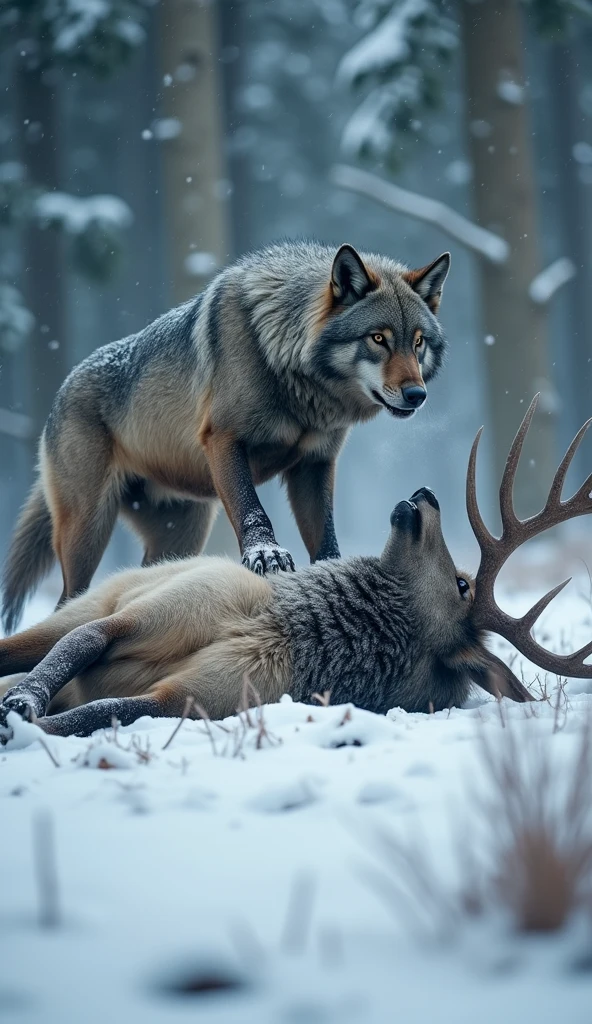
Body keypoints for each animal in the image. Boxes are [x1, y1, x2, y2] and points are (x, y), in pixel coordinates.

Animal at [1, 240, 450, 633]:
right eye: (378, 338)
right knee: (67, 601)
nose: (417, 395)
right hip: (88, 531)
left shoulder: (315, 464)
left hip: (182, 534)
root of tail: (61, 391)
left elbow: (325, 535)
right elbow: (253, 510)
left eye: (417, 342)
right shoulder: (225, 441)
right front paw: (267, 555)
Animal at [1, 395, 591, 742]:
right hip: (89, 596)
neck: (283, 627)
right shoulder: (146, 611)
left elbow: (99, 712)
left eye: (464, 584)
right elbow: (73, 650)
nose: (427, 495)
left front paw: (22, 720)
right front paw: (22, 701)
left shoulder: (201, 698)